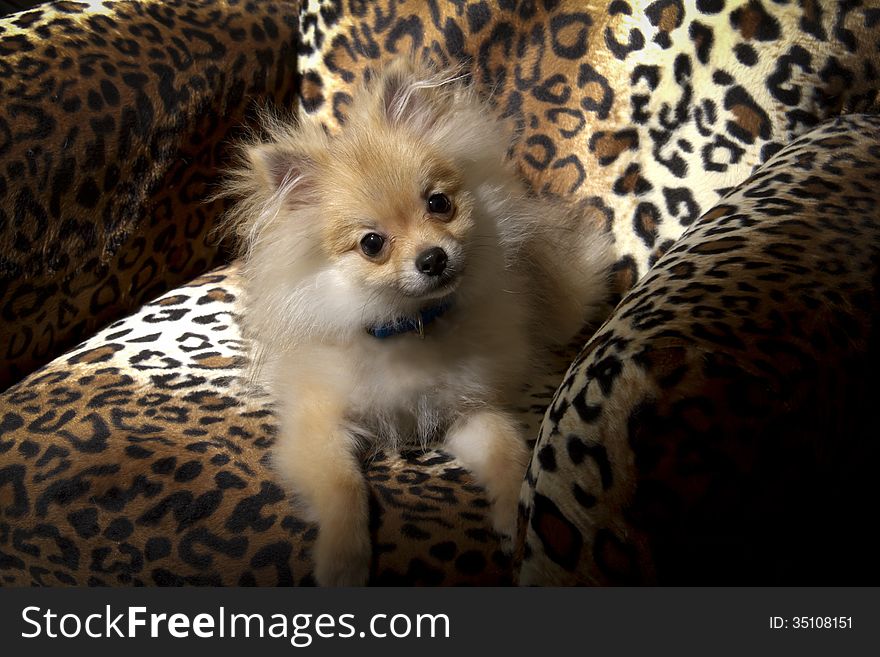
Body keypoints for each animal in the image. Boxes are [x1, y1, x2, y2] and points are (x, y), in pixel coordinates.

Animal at [222, 57, 612, 584]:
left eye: (438, 203)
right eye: (372, 244)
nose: (432, 258)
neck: (408, 326)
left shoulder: (468, 410)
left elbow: (510, 452)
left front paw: (515, 516)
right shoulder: (318, 426)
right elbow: (344, 486)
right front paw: (343, 558)